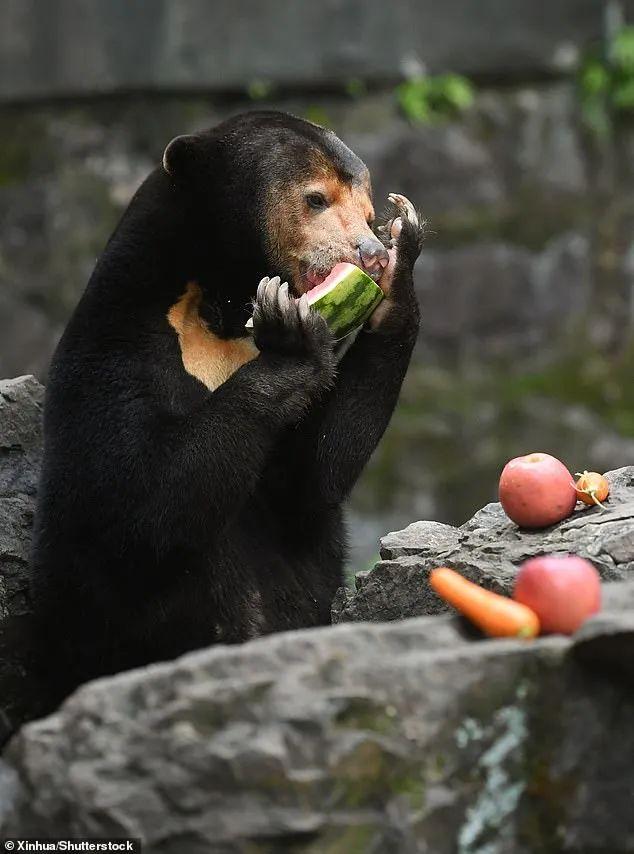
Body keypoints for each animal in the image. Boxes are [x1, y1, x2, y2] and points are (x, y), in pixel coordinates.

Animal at [30, 110, 424, 704]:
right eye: (315, 199)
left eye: (369, 209)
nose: (370, 253)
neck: (221, 307)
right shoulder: (114, 349)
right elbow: (139, 502)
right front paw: (293, 339)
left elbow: (314, 477)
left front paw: (400, 266)